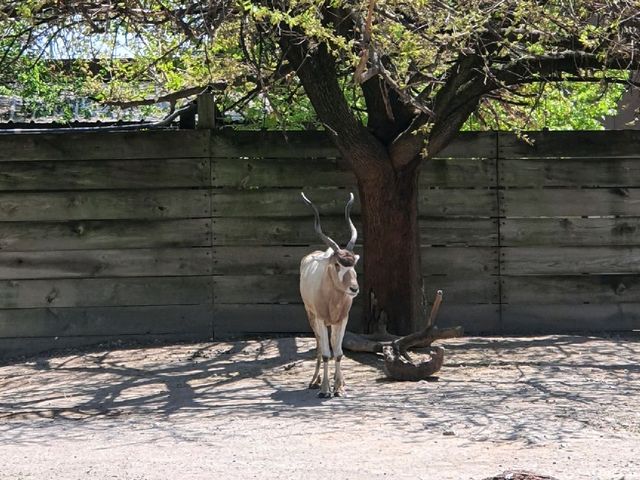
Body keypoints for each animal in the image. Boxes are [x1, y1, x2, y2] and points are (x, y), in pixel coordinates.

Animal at [298, 191, 358, 398]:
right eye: (337, 264)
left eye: (354, 264)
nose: (354, 289)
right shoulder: (321, 319)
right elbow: (325, 353)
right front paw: (325, 389)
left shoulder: (343, 319)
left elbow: (338, 353)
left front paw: (339, 388)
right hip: (311, 316)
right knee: (319, 346)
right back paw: (314, 381)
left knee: (333, 346)